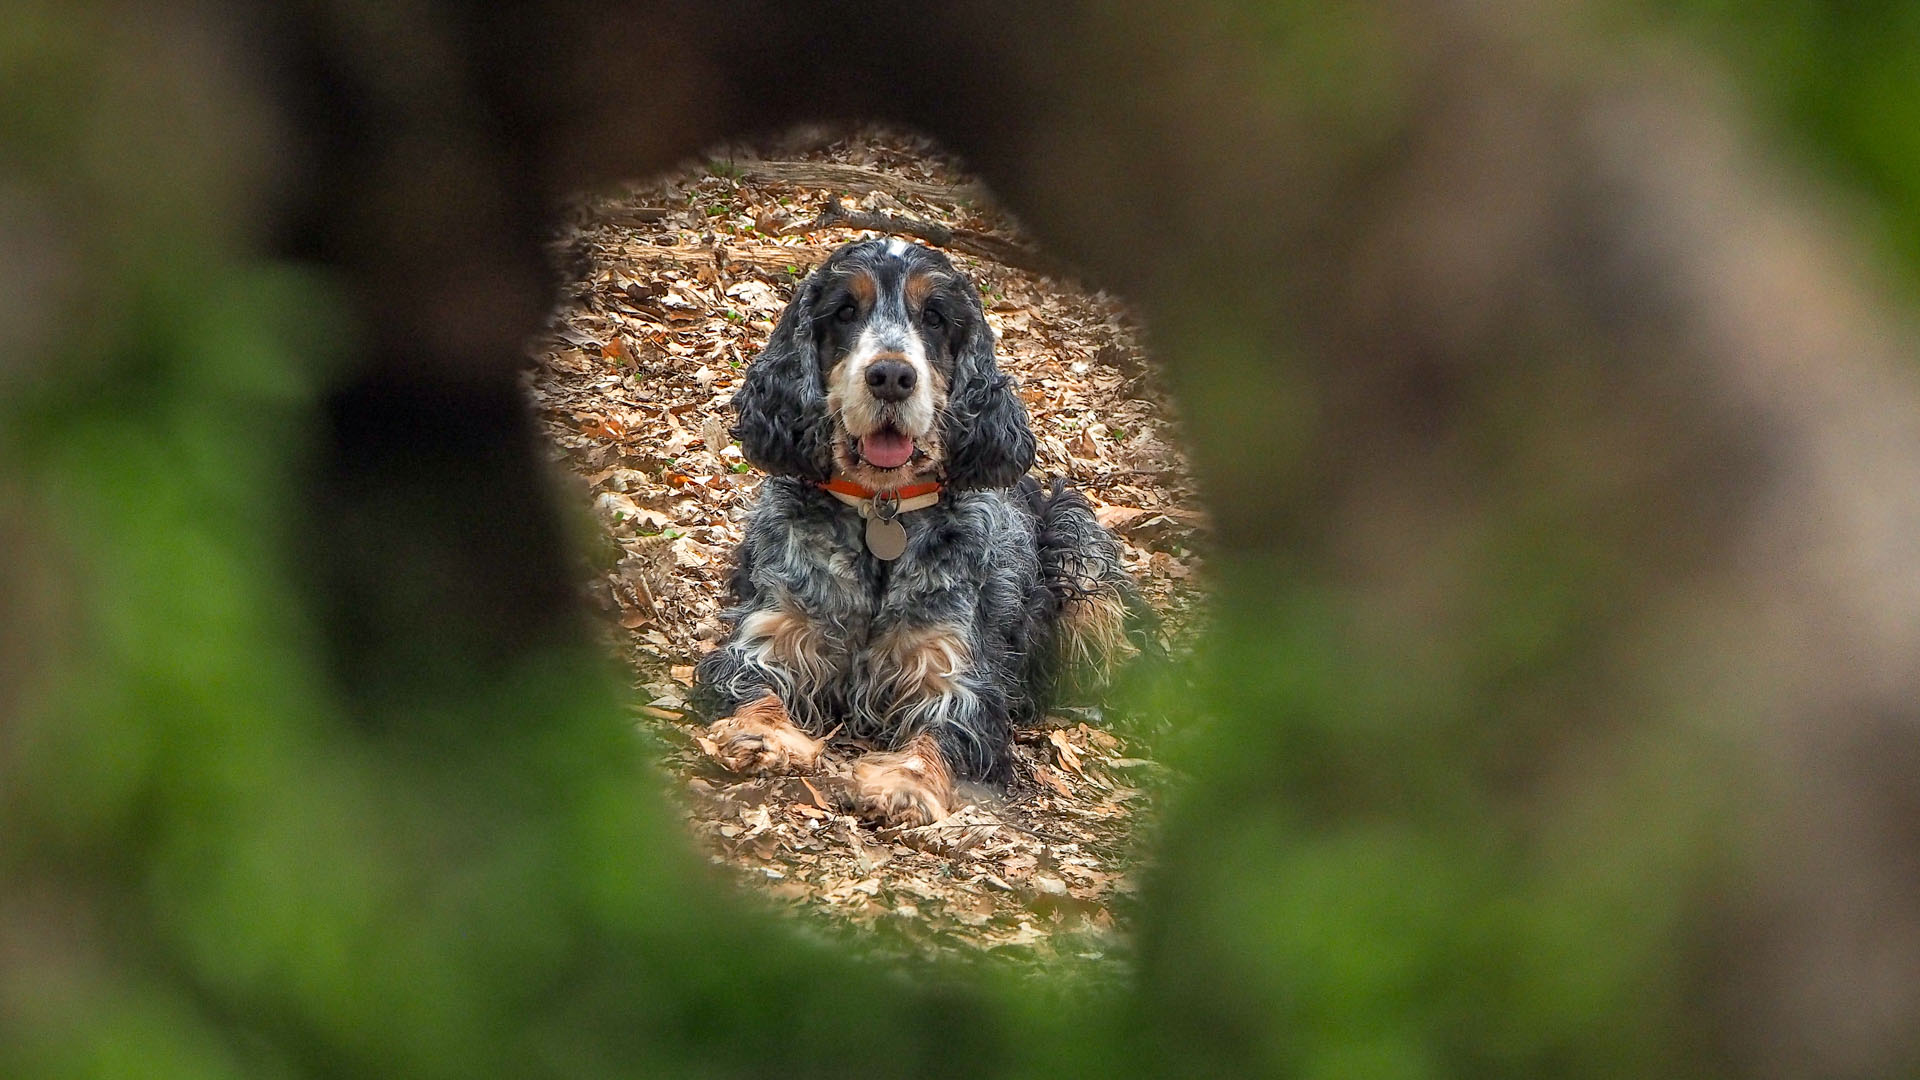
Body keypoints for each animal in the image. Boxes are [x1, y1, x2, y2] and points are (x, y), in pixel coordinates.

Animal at [691, 237, 1136, 822]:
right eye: (845, 311)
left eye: (935, 317)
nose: (891, 376)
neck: (882, 511)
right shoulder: (772, 627)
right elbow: (752, 680)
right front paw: (763, 736)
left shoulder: (958, 672)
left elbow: (942, 730)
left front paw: (906, 781)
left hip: (1081, 557)